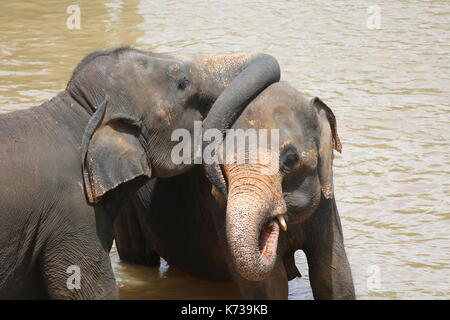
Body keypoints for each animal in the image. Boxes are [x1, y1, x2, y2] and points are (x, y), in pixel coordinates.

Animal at [113, 81, 356, 298]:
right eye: (217, 163)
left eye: (291, 159)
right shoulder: (218, 205)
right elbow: (268, 286)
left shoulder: (326, 204)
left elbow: (334, 276)